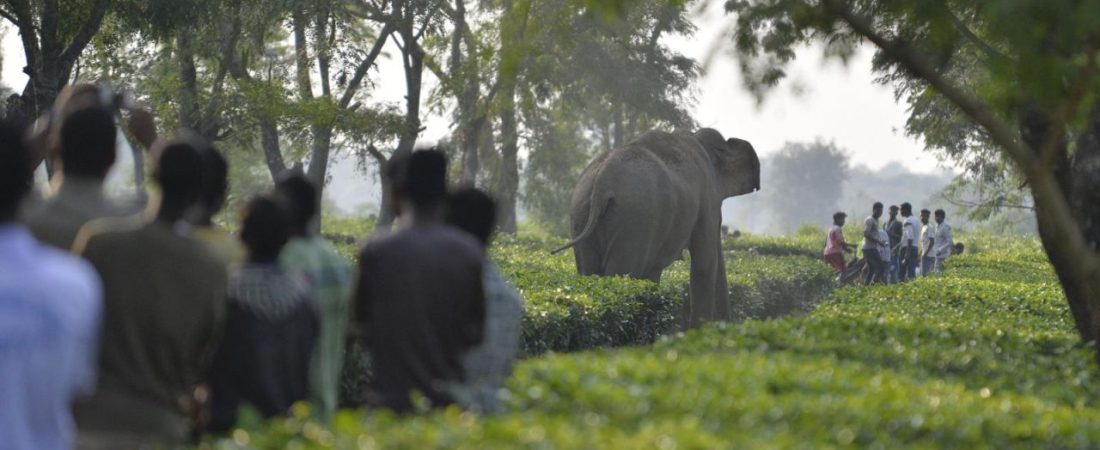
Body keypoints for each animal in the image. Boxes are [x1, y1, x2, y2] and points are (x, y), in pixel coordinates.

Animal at [552, 128, 760, 327]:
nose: (727, 323)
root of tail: (603, 180)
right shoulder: (707, 199)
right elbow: (705, 262)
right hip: (635, 219)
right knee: (623, 271)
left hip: (581, 210)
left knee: (589, 270)